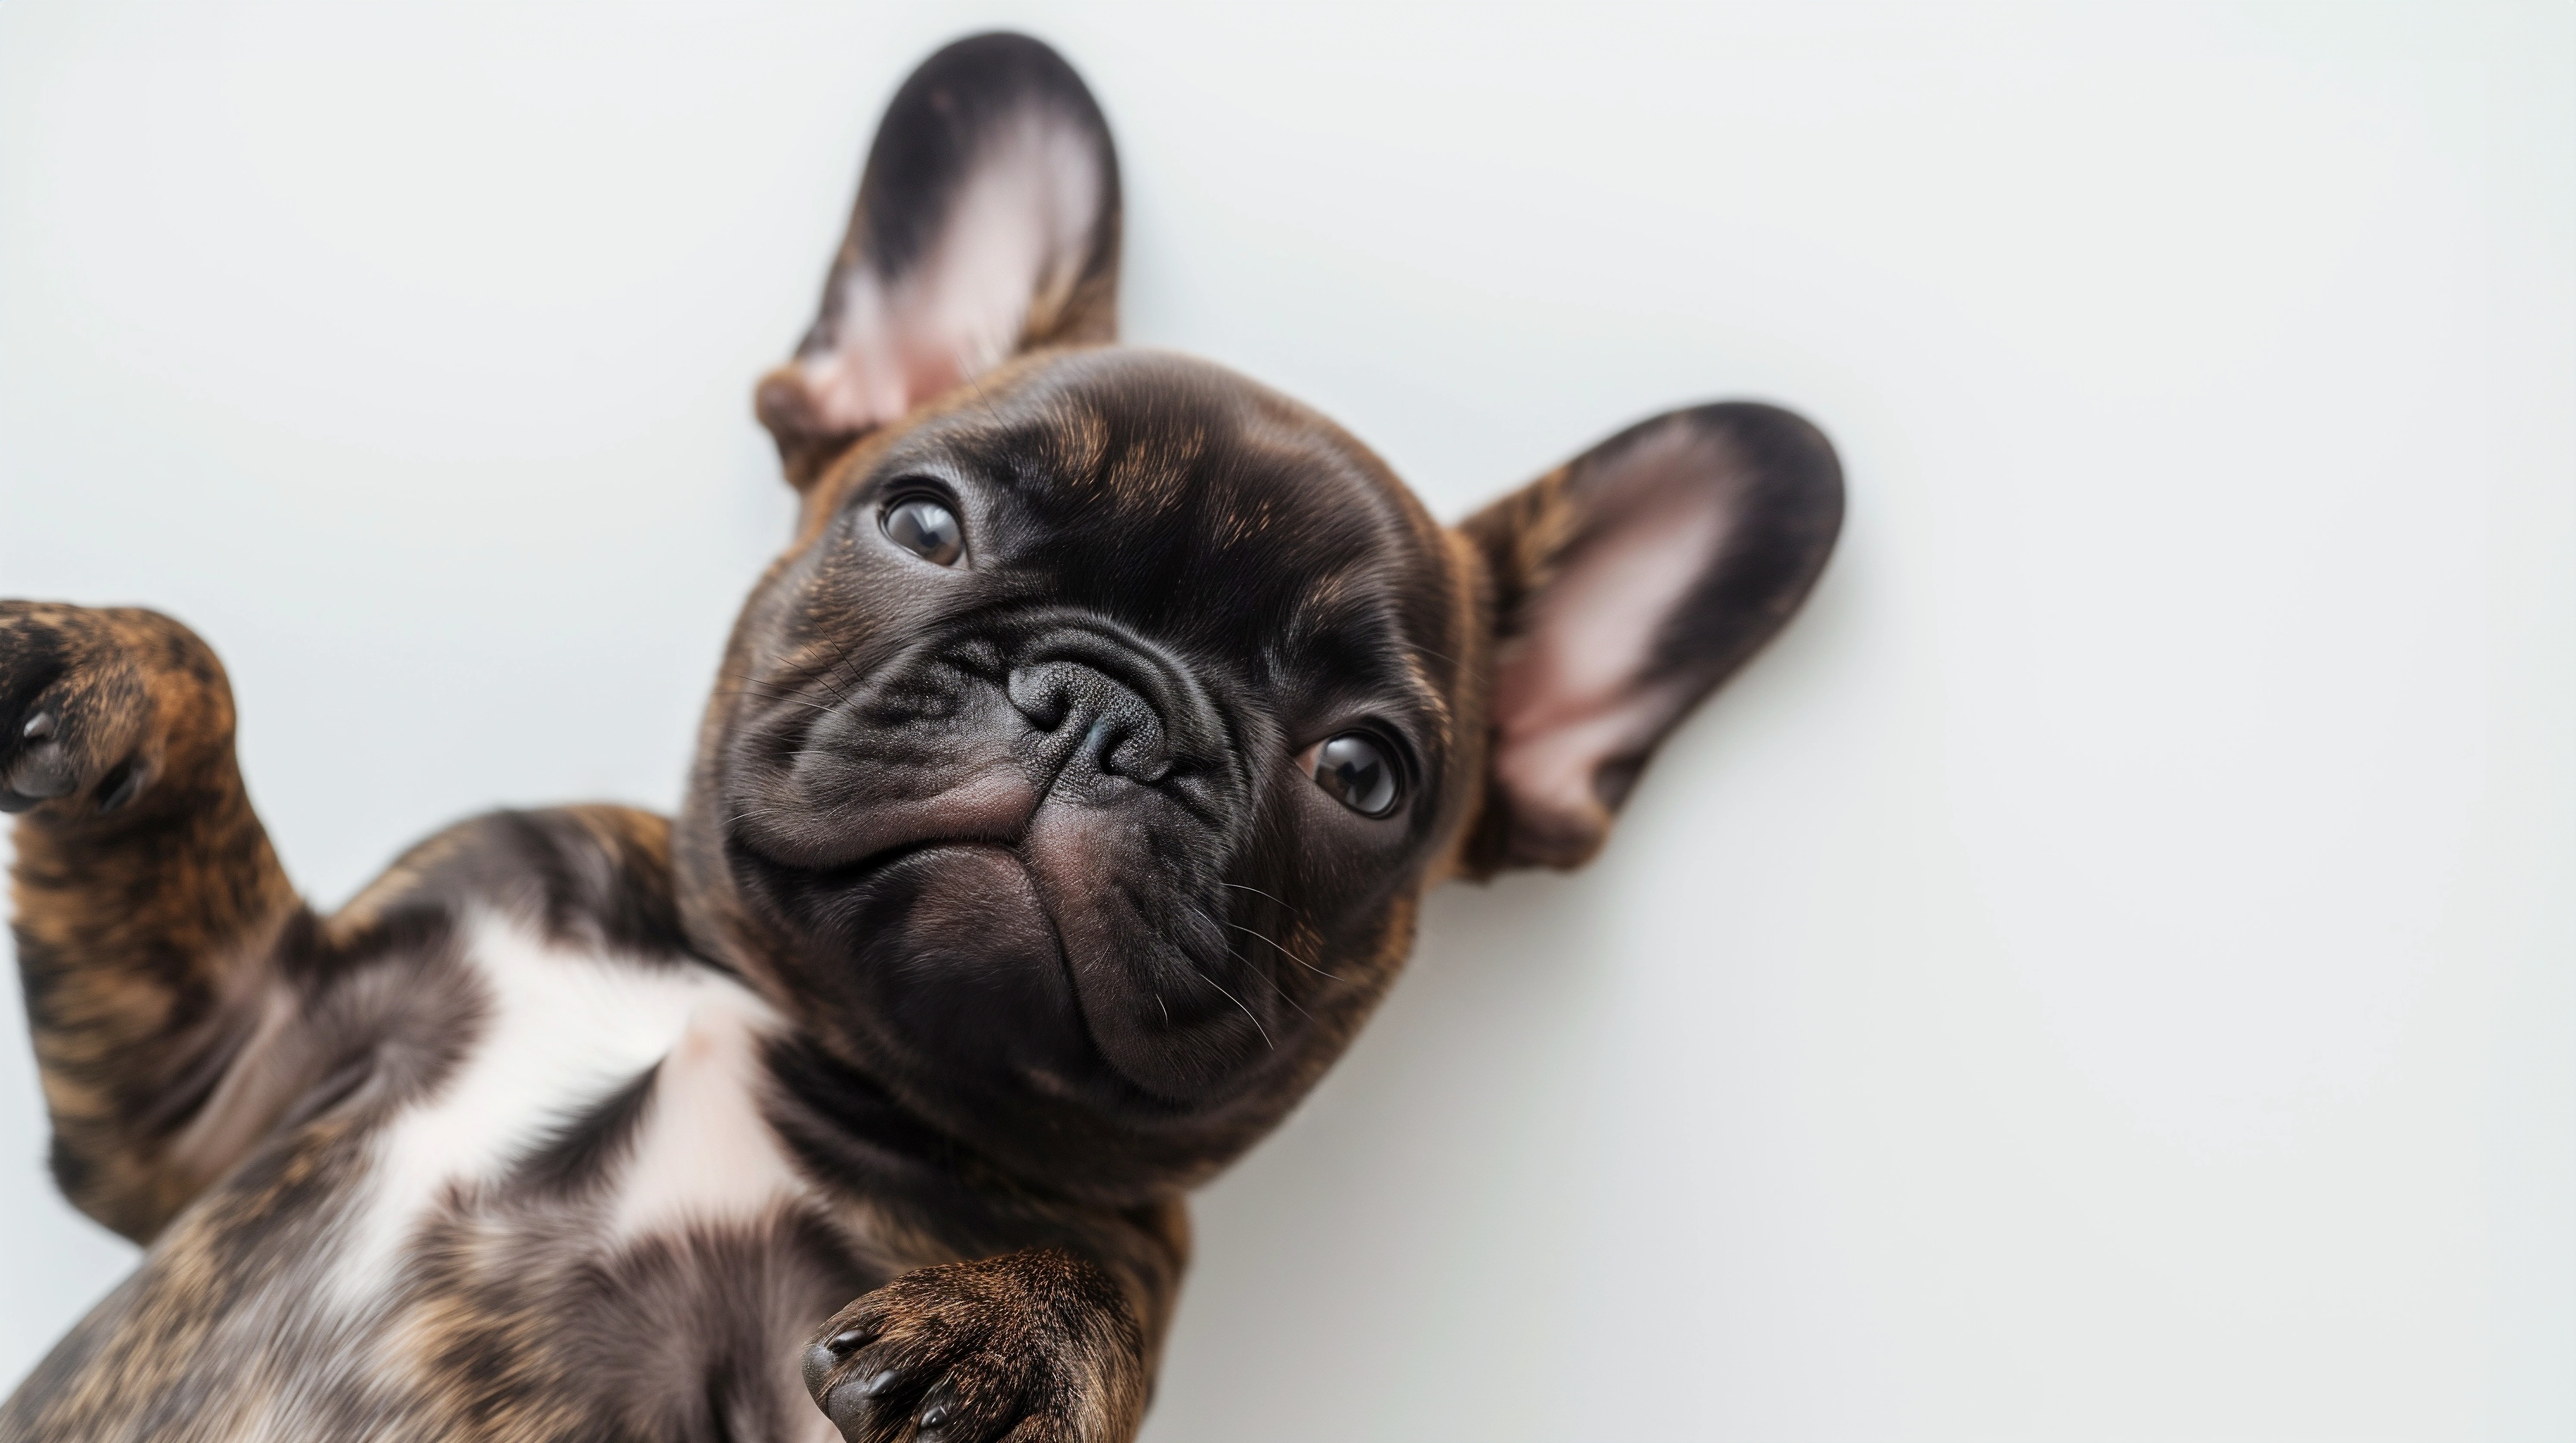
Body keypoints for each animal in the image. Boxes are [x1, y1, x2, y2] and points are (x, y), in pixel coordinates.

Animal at [10, 31, 1844, 1443]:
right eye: (921, 520)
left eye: (1364, 773)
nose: (1108, 709)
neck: (781, 1021)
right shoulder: (211, 1081)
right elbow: (195, 680)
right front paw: (78, 655)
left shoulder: (1118, 1260)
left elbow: (1086, 1287)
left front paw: (1009, 1336)